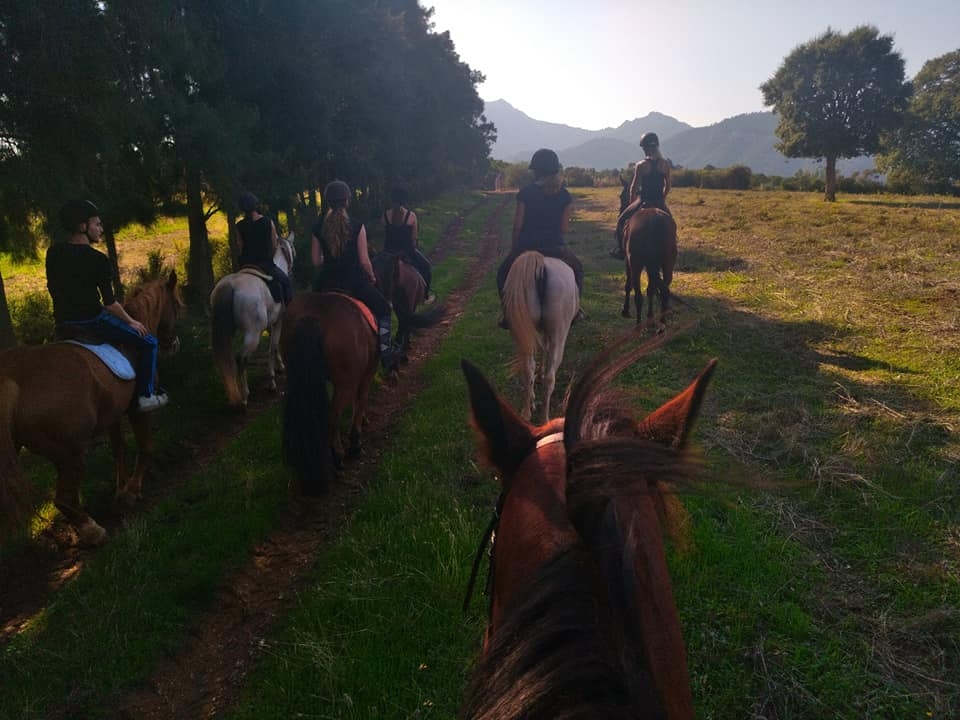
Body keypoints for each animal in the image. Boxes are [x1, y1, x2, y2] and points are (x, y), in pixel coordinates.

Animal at [0, 273, 183, 546]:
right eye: (178, 306)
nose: (173, 344)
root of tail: (14, 377)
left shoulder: (113, 415)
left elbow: (119, 449)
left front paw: (121, 490)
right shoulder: (136, 411)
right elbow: (145, 447)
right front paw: (132, 491)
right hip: (70, 451)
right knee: (64, 498)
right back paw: (93, 530)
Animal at [210, 231, 296, 409]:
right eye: (293, 249)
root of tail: (230, 286)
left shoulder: (271, 323)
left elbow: (274, 346)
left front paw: (280, 366)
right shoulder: (279, 321)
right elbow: (273, 347)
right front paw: (272, 381)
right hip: (253, 334)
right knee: (241, 358)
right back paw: (244, 396)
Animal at [280, 291, 381, 496]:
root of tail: (313, 316)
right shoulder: (367, 373)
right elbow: (360, 401)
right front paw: (356, 443)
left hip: (295, 378)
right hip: (346, 384)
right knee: (332, 415)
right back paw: (337, 459)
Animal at [501, 250, 579, 422]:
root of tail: (541, 263)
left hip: (520, 332)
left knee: (527, 369)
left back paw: (527, 411)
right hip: (559, 336)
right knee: (549, 378)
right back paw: (545, 419)